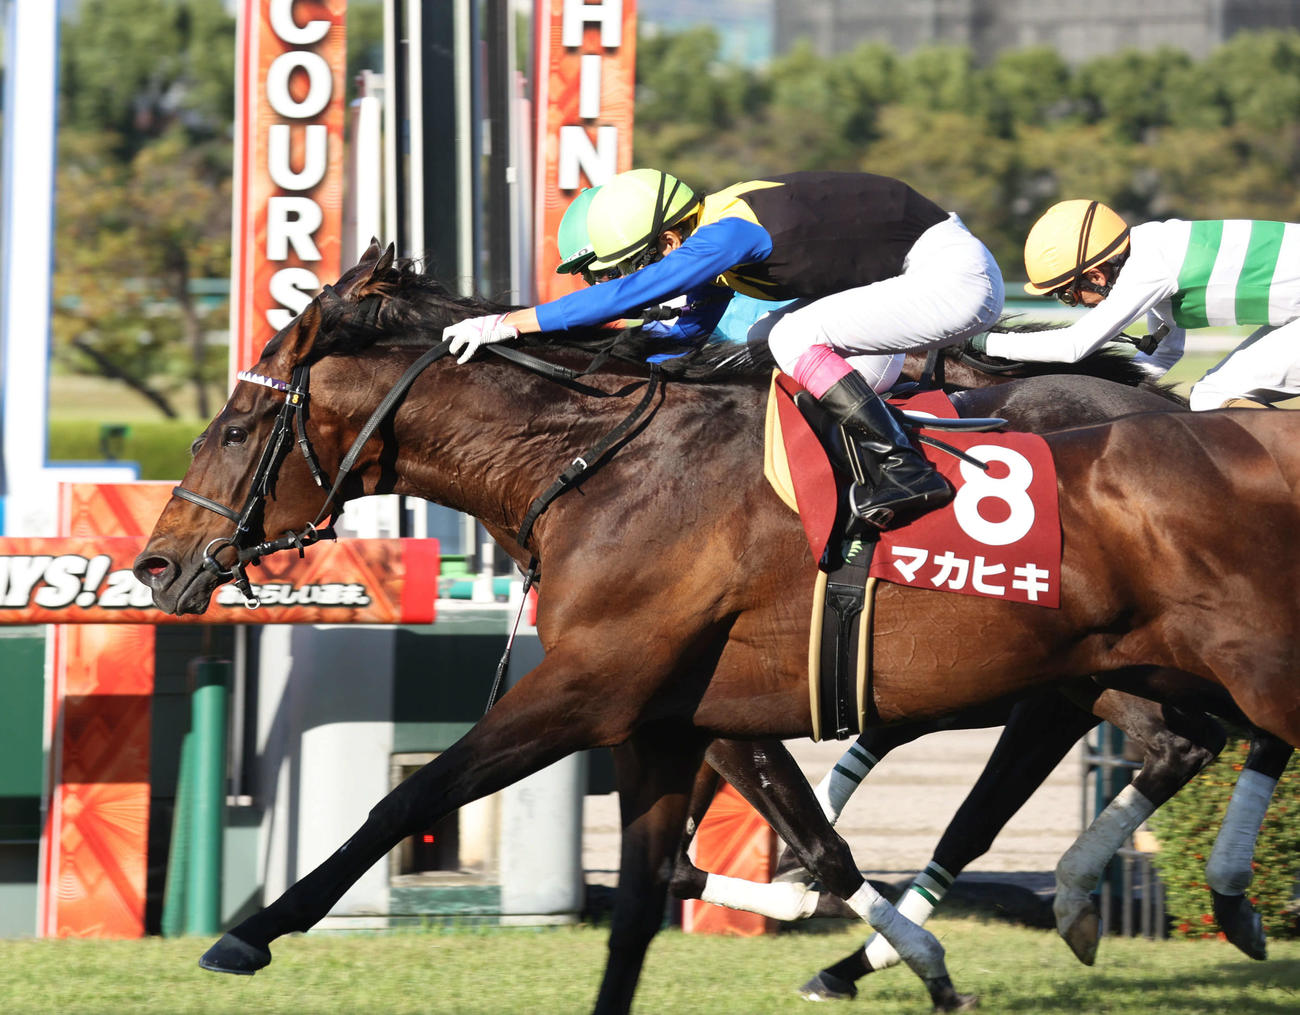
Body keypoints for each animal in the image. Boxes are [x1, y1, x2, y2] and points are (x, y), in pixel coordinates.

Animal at [131, 246, 1300, 1013]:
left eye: (236, 424)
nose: (157, 564)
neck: (593, 463)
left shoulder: (593, 688)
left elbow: (410, 795)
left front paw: (250, 931)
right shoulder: (680, 717)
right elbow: (747, 861)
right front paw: (882, 942)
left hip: (1196, 666)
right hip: (1119, 669)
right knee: (1175, 744)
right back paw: (1113, 899)